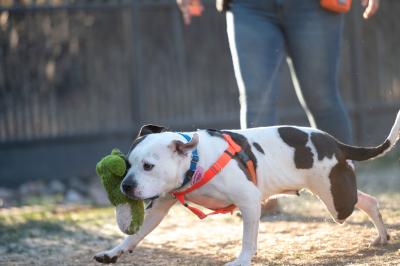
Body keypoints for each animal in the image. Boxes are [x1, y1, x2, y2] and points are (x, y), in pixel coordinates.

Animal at [94, 109, 400, 264]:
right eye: (127, 165)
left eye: (148, 166)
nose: (125, 187)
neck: (195, 161)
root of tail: (336, 144)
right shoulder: (159, 208)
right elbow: (135, 236)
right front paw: (114, 252)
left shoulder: (250, 201)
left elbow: (248, 240)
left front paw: (242, 259)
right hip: (337, 196)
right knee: (369, 200)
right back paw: (382, 236)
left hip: (337, 201)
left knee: (361, 201)